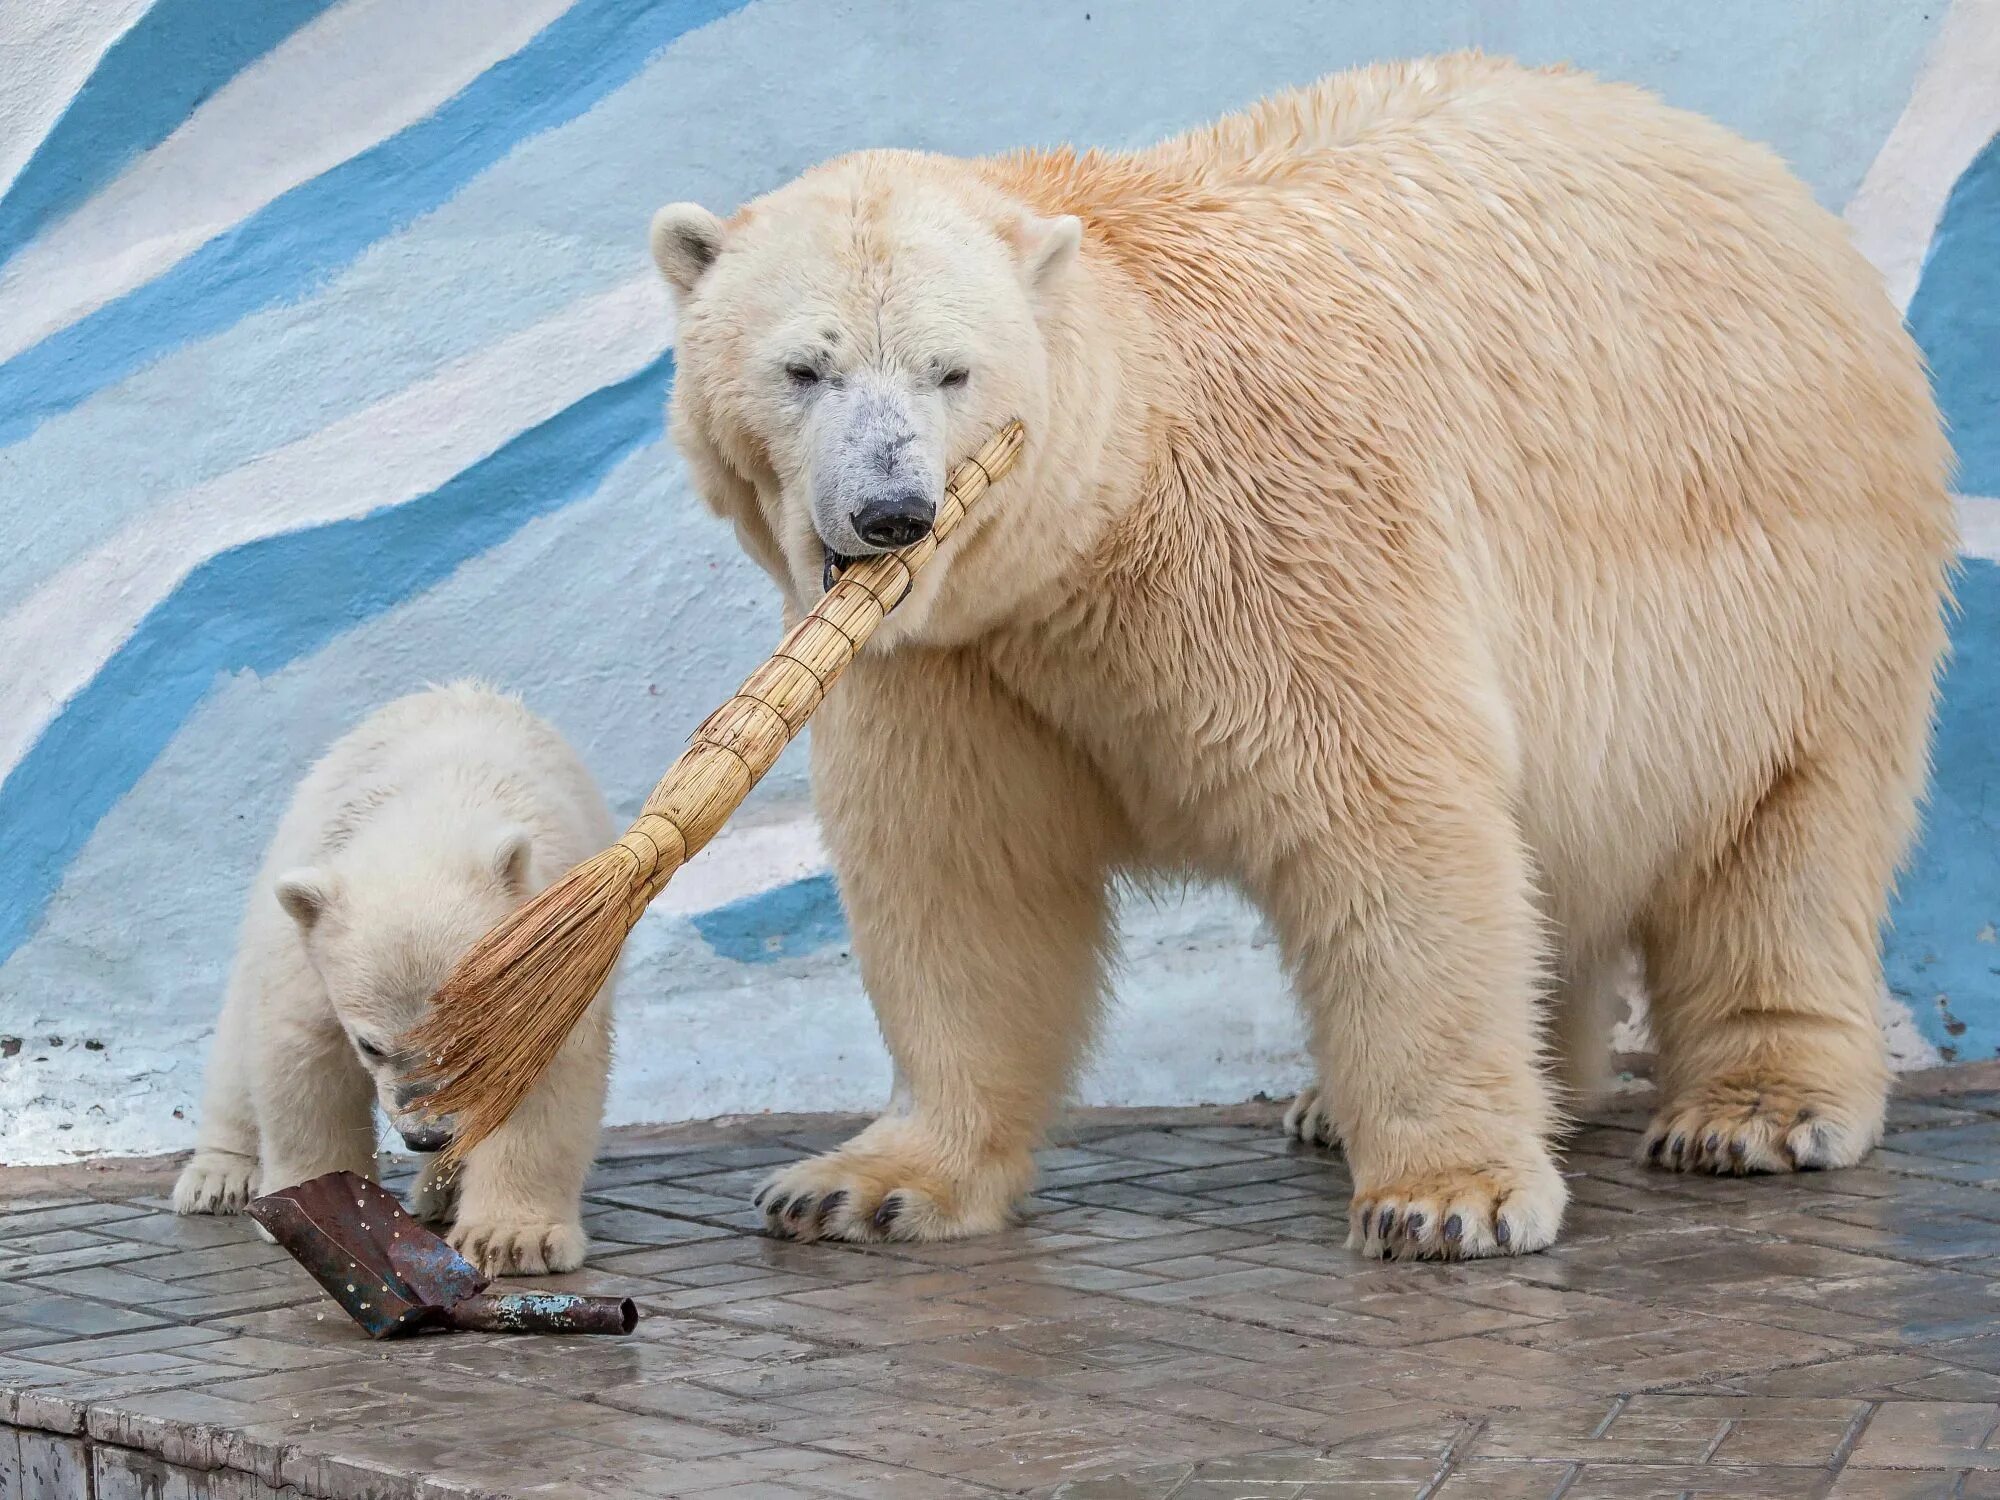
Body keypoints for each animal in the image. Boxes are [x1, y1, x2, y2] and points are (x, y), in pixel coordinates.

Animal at [652, 55, 1952, 1256]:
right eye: (803, 367)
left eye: (948, 369)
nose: (892, 514)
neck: (1104, 506)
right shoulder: (954, 654)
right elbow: (958, 870)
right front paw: (858, 1183)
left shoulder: (1275, 548)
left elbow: (1380, 819)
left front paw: (1444, 1199)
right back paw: (1397, 1098)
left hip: (1789, 576)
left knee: (1781, 833)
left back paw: (1751, 1113)